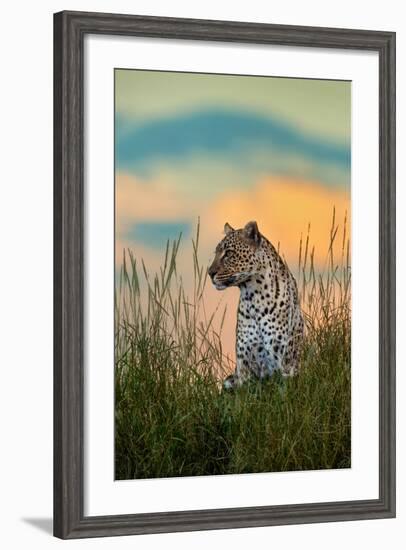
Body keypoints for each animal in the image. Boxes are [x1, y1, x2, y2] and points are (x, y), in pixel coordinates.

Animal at [208, 222, 302, 390]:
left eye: (229, 253)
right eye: (216, 253)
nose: (210, 273)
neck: (253, 298)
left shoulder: (281, 365)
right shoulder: (244, 366)